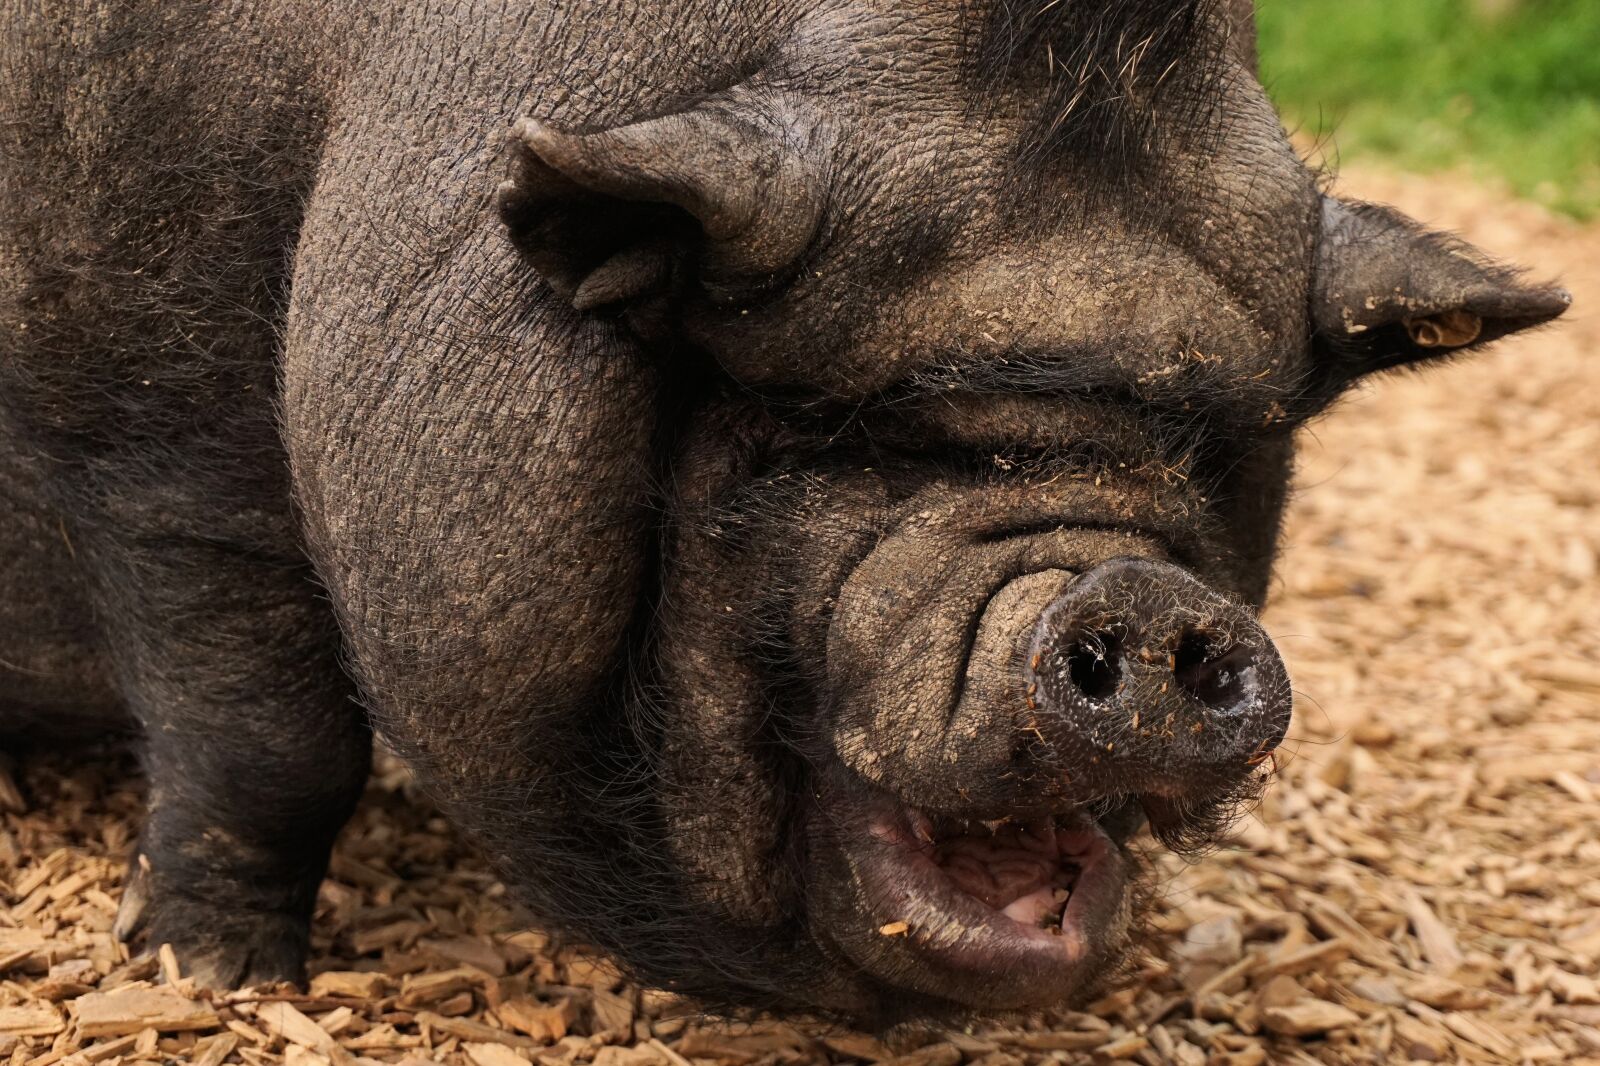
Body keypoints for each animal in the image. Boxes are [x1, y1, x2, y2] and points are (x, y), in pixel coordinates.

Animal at [0, 0, 1568, 1024]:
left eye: (1210, 446)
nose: (1131, 590)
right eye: (832, 429)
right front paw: (212, 976)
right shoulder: (157, 447)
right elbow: (272, 742)